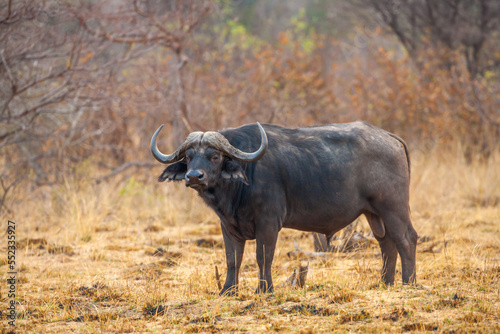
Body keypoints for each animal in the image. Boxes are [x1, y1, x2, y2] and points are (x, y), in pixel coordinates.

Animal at [151, 121, 418, 294]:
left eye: (214, 156)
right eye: (188, 157)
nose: (194, 176)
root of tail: (391, 138)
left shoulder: (268, 223)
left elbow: (263, 257)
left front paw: (264, 289)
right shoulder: (228, 226)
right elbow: (232, 259)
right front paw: (228, 290)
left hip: (393, 208)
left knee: (407, 239)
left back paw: (409, 282)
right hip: (374, 214)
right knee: (387, 243)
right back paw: (385, 282)